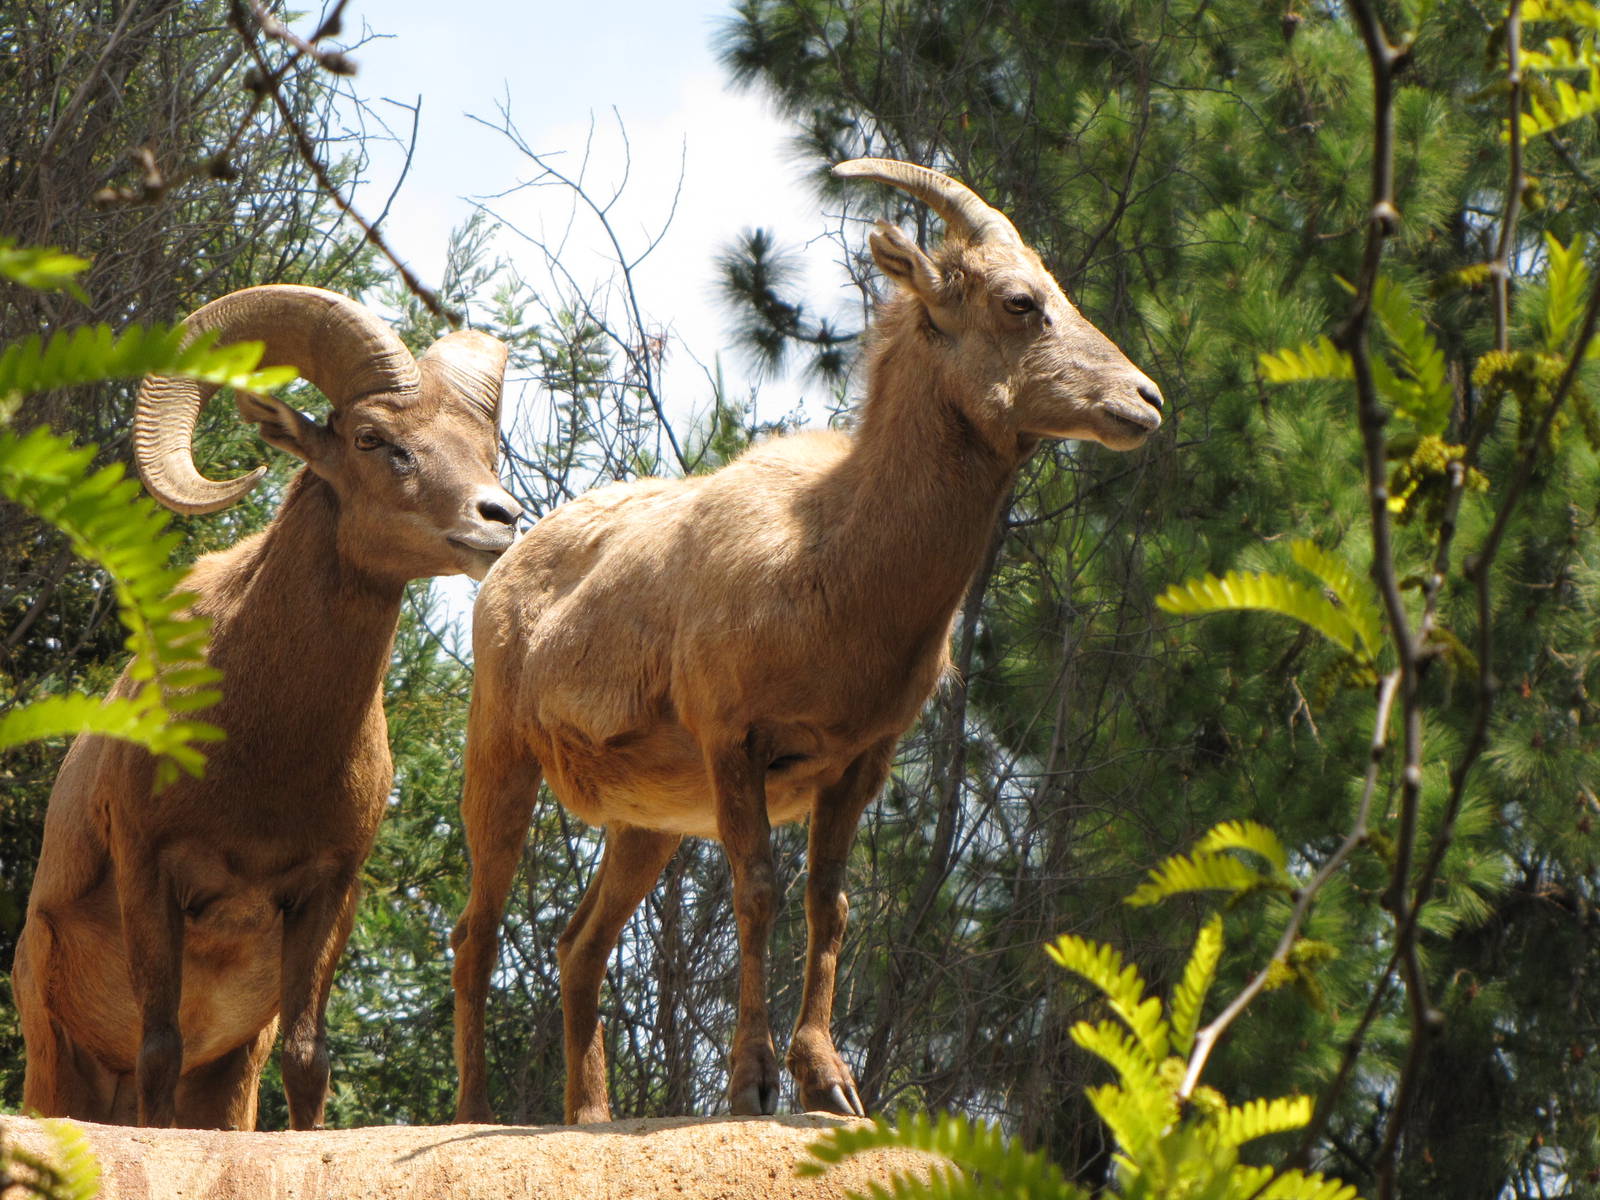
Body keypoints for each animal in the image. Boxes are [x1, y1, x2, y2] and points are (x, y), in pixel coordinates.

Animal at [12, 284, 521, 1130]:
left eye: (488, 450)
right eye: (373, 437)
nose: (498, 519)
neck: (264, 756)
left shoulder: (326, 892)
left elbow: (308, 1059)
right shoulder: (151, 872)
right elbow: (159, 1049)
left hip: (228, 1078)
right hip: (54, 1060)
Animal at [449, 158, 1164, 1124]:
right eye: (1020, 302)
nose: (1145, 401)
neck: (831, 558)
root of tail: (502, 571)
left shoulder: (858, 759)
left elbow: (832, 902)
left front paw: (830, 1081)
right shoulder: (733, 739)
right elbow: (759, 890)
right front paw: (751, 1081)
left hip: (647, 823)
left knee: (577, 942)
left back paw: (590, 1114)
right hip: (501, 754)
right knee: (475, 931)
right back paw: (474, 1111)